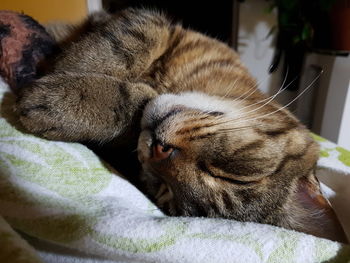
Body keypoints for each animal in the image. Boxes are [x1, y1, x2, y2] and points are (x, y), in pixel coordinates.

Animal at [14, 7, 348, 243]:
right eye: (235, 174)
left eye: (164, 190)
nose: (160, 149)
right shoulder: (155, 23)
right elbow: (128, 40)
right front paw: (67, 68)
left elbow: (135, 104)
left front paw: (61, 101)